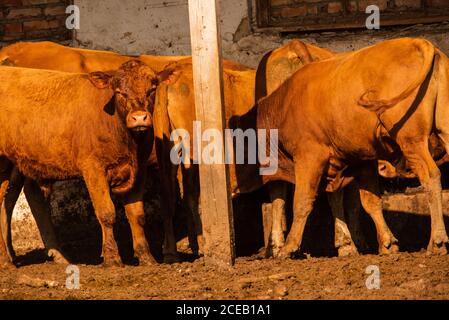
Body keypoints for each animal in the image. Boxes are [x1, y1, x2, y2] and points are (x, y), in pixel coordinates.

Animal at [0, 60, 166, 268]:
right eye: (119, 91)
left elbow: (137, 215)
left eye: (152, 89)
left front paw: (146, 257)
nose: (139, 118)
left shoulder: (139, 170)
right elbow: (106, 213)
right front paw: (112, 258)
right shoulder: (93, 168)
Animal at [256, 38, 448, 258]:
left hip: (411, 139)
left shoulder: (309, 156)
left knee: (431, 176)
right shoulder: (362, 159)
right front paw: (387, 243)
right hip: (443, 127)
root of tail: (418, 42)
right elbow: (369, 200)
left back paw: (437, 242)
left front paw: (289, 247)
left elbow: (302, 201)